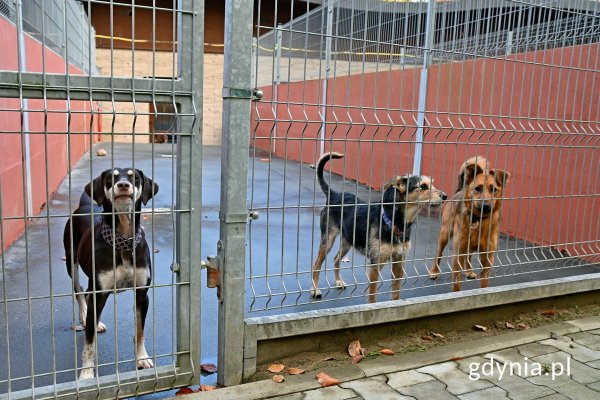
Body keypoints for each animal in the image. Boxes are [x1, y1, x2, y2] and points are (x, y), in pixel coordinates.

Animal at [63, 167, 158, 380]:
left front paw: (142, 358)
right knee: (79, 290)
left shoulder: (142, 294)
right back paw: (85, 316)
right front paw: (87, 373)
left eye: (134, 177)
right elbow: (89, 342)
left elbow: (140, 331)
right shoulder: (99, 293)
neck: (122, 241)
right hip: (71, 262)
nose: (123, 185)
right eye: (109, 178)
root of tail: (85, 204)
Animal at [314, 153, 446, 304]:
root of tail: (334, 194)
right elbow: (372, 295)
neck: (394, 221)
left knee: (336, 259)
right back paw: (315, 290)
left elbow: (396, 293)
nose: (445, 196)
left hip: (347, 241)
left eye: (432, 184)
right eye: (423, 186)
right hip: (327, 241)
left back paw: (338, 282)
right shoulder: (375, 264)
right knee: (316, 266)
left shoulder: (399, 261)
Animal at [426, 158, 510, 292]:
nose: (486, 206)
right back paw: (434, 271)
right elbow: (456, 284)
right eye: (477, 188)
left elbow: (484, 283)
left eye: (494, 189)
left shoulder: (487, 258)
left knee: (469, 256)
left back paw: (469, 271)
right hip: (444, 234)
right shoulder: (458, 255)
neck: (479, 220)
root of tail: (459, 191)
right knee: (438, 254)